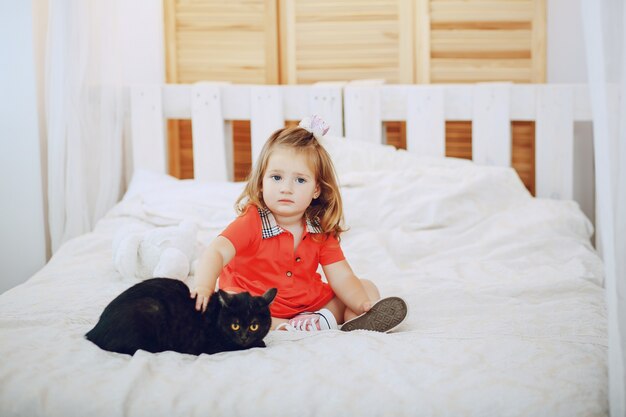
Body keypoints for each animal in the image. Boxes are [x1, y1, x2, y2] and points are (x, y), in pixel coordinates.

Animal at [86, 278, 276, 352]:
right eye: (234, 325)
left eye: (254, 326)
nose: (244, 337)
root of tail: (93, 332)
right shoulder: (213, 347)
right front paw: (260, 343)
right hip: (151, 308)